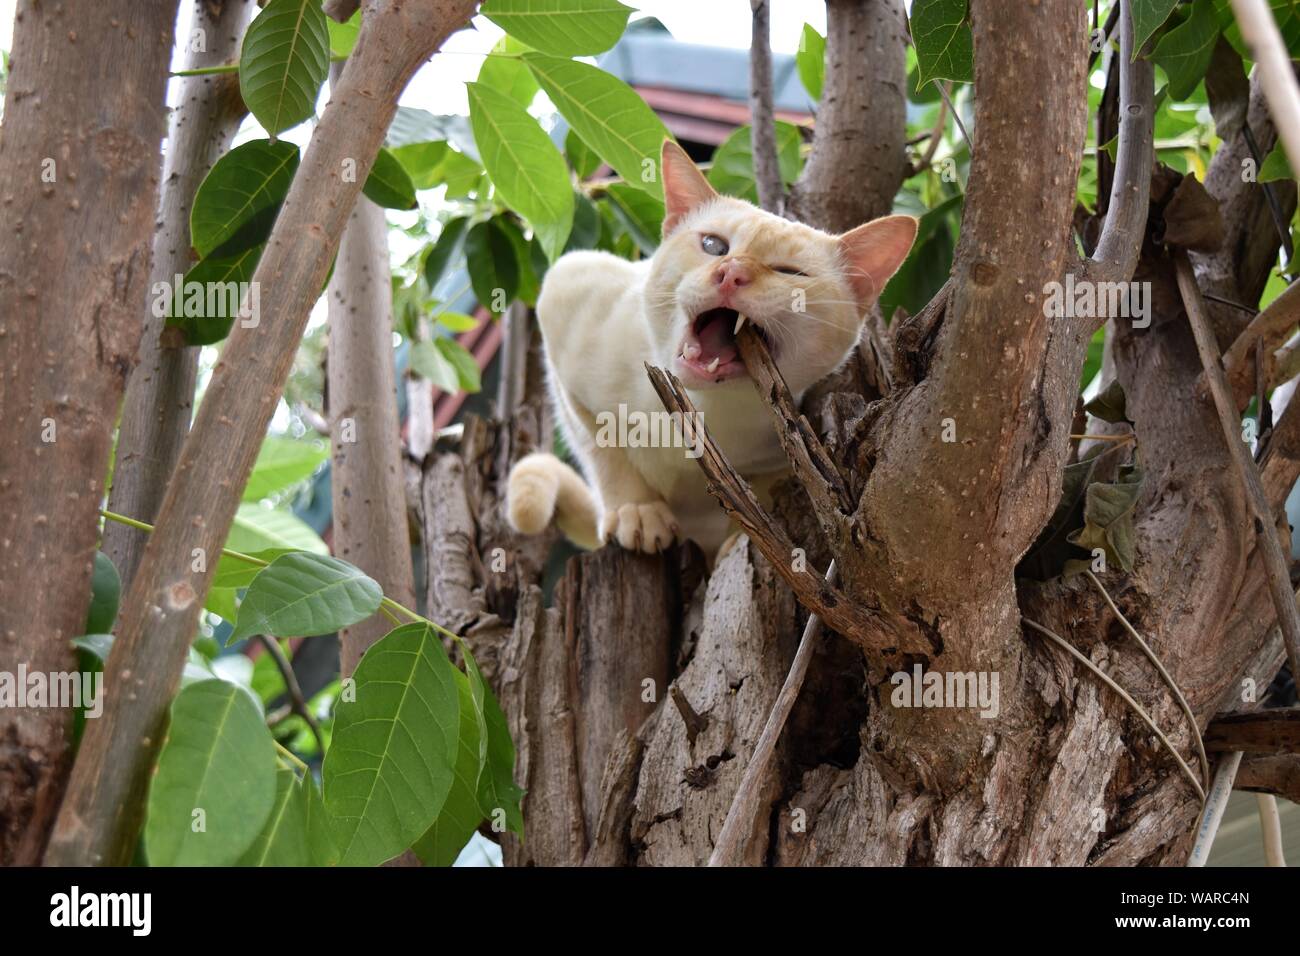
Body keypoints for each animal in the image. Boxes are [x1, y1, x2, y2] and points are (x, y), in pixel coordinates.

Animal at [504, 143, 915, 561]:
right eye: (714, 246)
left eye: (791, 272)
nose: (731, 272)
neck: (700, 407)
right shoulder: (564, 302)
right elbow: (604, 450)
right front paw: (638, 511)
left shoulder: (782, 462)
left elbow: (756, 503)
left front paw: (738, 541)